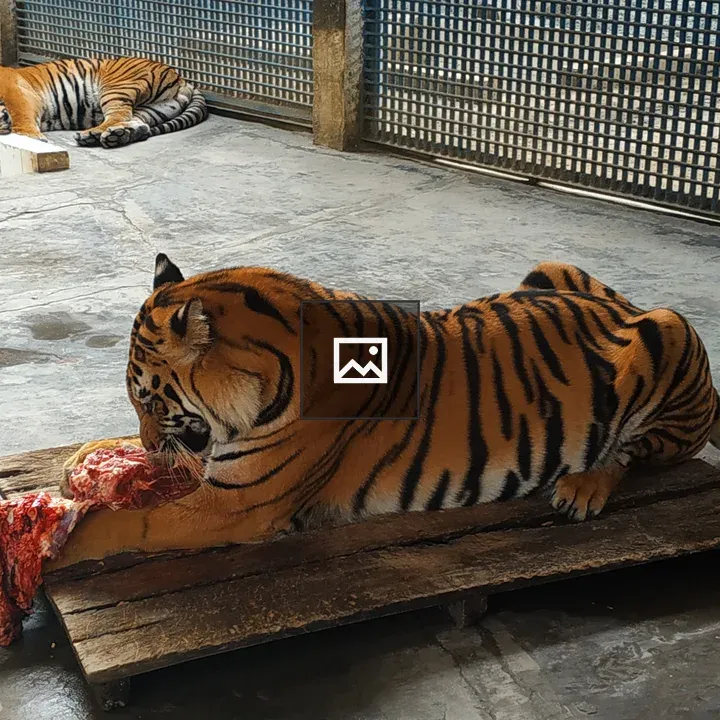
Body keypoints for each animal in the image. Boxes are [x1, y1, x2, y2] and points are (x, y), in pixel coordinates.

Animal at [0, 57, 207, 149]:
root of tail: (181, 78)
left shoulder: (18, 92)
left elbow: (21, 116)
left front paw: (30, 139)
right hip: (156, 108)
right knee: (138, 123)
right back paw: (116, 135)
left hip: (116, 88)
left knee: (118, 115)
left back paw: (92, 134)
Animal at [48, 255, 720, 569]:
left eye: (146, 396)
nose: (149, 442)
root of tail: (627, 306)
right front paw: (86, 456)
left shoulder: (236, 504)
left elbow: (124, 524)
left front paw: (59, 543)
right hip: (549, 271)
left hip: (667, 330)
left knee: (636, 452)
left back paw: (582, 487)